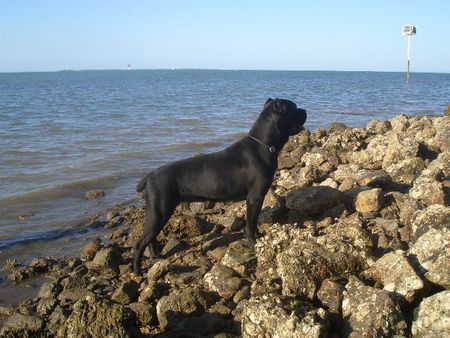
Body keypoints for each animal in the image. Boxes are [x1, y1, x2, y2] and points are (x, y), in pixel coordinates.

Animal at [134, 98, 308, 274]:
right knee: (140, 244)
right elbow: (251, 224)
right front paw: (254, 243)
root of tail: (149, 176)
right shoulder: (255, 198)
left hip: (156, 213)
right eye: (293, 107)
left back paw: (156, 256)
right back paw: (137, 270)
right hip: (160, 211)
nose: (305, 110)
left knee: (150, 239)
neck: (263, 145)